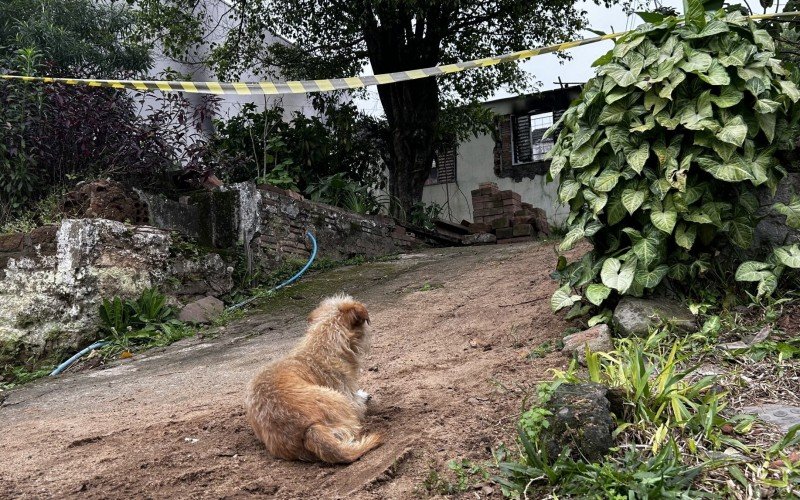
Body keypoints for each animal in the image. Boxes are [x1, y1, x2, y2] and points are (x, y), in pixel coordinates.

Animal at [244, 294, 382, 462]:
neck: (324, 344)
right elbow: (358, 402)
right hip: (337, 398)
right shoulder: (346, 392)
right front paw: (363, 397)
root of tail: (309, 429)